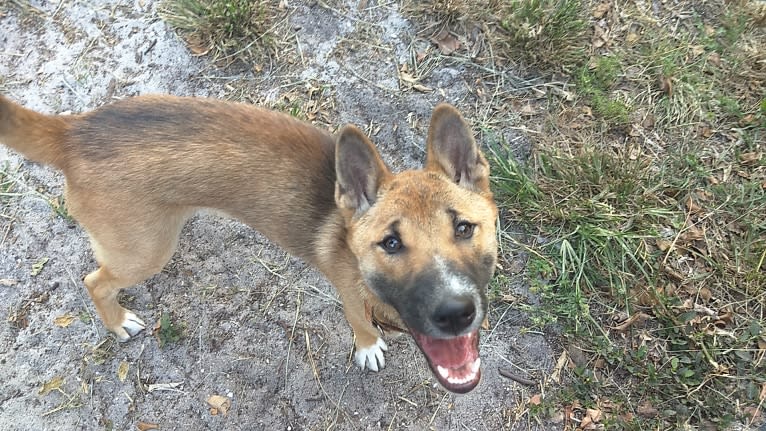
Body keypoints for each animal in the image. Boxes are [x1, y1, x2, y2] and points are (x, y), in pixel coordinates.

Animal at [0, 94, 500, 394]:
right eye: (391, 243)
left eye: (464, 228)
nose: (455, 313)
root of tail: (72, 132)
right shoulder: (350, 298)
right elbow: (361, 327)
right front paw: (368, 347)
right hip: (142, 252)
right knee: (94, 280)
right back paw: (118, 321)